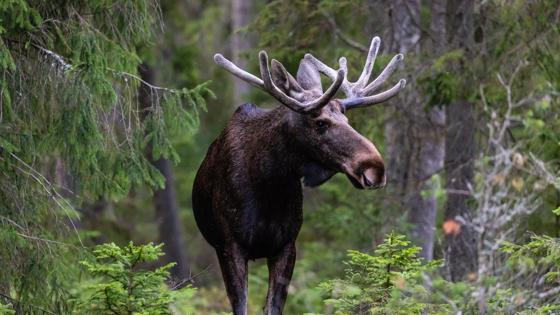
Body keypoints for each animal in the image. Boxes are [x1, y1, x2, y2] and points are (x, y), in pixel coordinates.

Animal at [192, 37, 406, 315]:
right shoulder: (231, 246)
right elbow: (241, 306)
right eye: (320, 123)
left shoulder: (287, 246)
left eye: (347, 120)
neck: (269, 185)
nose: (375, 168)